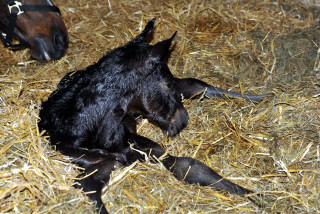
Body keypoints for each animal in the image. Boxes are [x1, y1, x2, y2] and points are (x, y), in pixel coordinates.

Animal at [38, 18, 262, 214]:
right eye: (166, 85)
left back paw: (263, 97)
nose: (183, 120)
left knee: (196, 85)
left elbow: (191, 166)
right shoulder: (101, 163)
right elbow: (89, 190)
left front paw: (258, 196)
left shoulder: (151, 150)